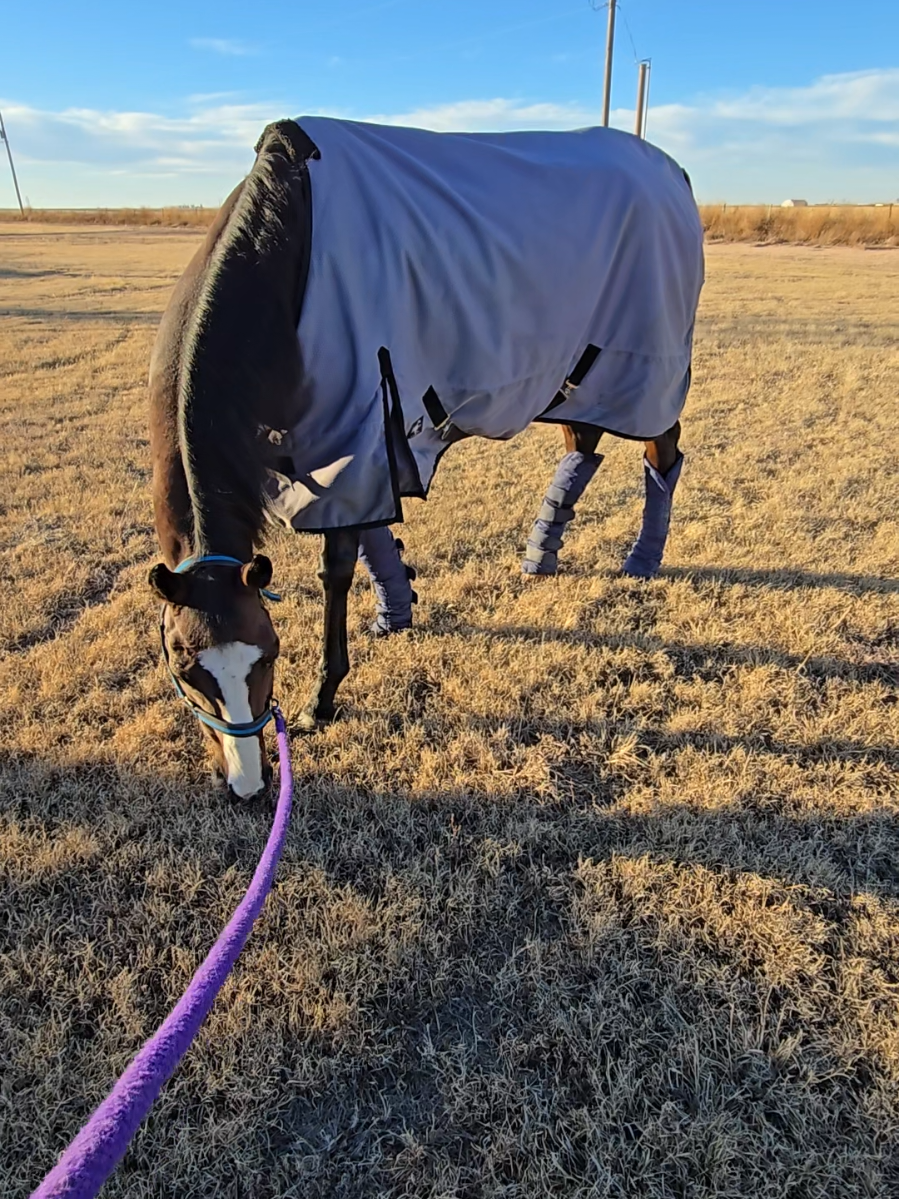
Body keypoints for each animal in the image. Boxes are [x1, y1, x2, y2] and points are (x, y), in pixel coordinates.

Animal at [149, 116, 704, 798]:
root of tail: (672, 172)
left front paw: (322, 699)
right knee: (584, 444)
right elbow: (371, 535)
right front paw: (397, 607)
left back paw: (643, 558)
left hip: (646, 372)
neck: (286, 247)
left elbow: (337, 567)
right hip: (577, 373)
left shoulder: (351, 435)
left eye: (269, 652)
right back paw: (542, 553)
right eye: (185, 669)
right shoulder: (347, 448)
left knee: (662, 450)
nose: (250, 786)